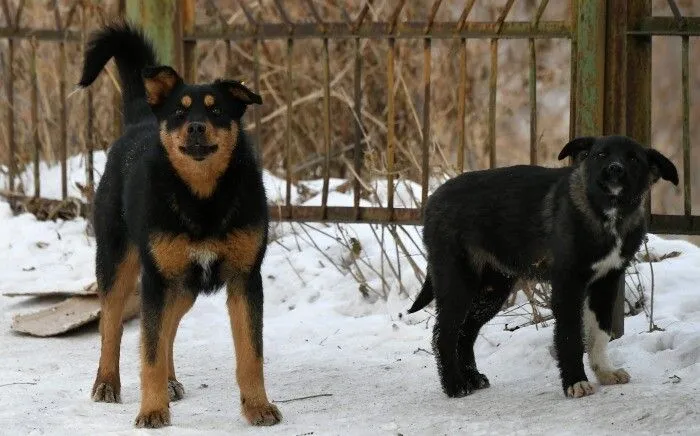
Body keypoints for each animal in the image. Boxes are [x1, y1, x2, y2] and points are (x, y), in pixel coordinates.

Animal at [79, 22, 282, 428]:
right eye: (178, 112)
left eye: (217, 109)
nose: (196, 128)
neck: (202, 198)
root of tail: (141, 118)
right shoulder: (157, 280)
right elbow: (149, 353)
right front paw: (152, 410)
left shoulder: (245, 278)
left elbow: (250, 354)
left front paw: (257, 406)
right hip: (119, 262)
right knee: (111, 325)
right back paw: (107, 382)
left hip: (184, 283)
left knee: (167, 328)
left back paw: (170, 382)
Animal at [408, 135, 676, 398]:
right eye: (601, 154)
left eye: (633, 159)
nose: (615, 169)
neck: (607, 213)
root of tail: (433, 198)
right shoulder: (567, 285)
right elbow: (570, 336)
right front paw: (575, 382)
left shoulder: (606, 282)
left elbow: (599, 334)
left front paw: (605, 372)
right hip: (458, 282)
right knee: (444, 334)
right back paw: (454, 385)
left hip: (492, 290)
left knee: (466, 332)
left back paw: (473, 378)